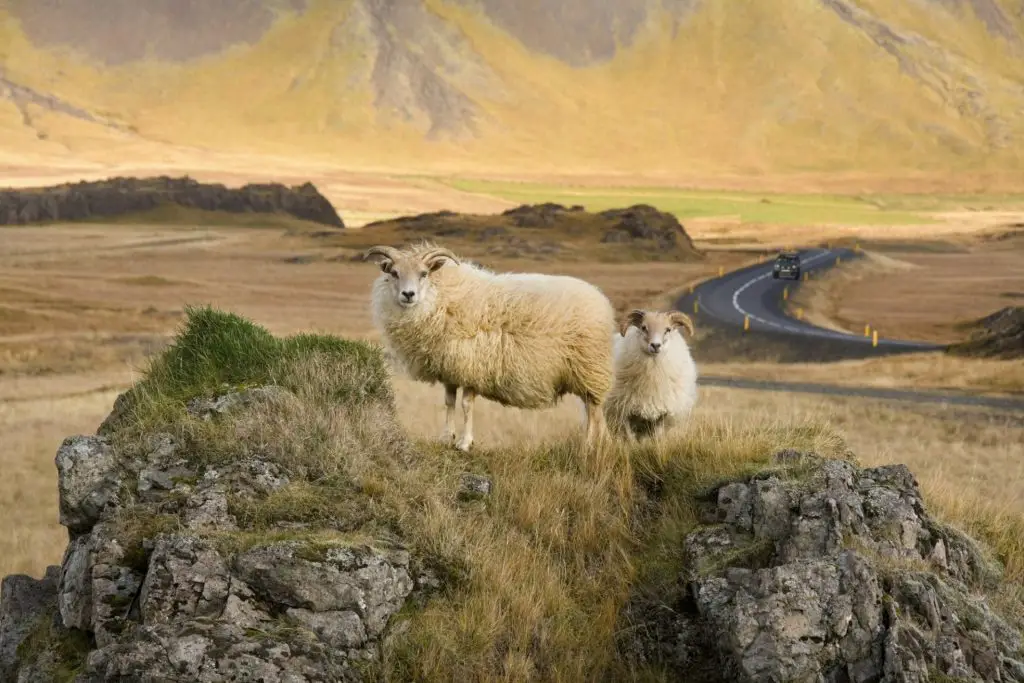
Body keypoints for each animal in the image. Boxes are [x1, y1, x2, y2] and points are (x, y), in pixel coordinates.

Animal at [364, 242, 617, 451]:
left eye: (424, 274)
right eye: (394, 273)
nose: (408, 294)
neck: (441, 299)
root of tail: (600, 298)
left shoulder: (472, 366)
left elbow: (466, 405)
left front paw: (465, 443)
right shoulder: (450, 368)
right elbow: (448, 403)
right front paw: (447, 437)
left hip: (590, 368)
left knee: (594, 410)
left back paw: (589, 446)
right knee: (593, 410)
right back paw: (601, 443)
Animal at [603, 309, 698, 441]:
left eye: (668, 329)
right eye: (643, 327)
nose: (655, 345)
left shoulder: (662, 413)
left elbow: (657, 437)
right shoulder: (624, 411)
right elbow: (629, 439)